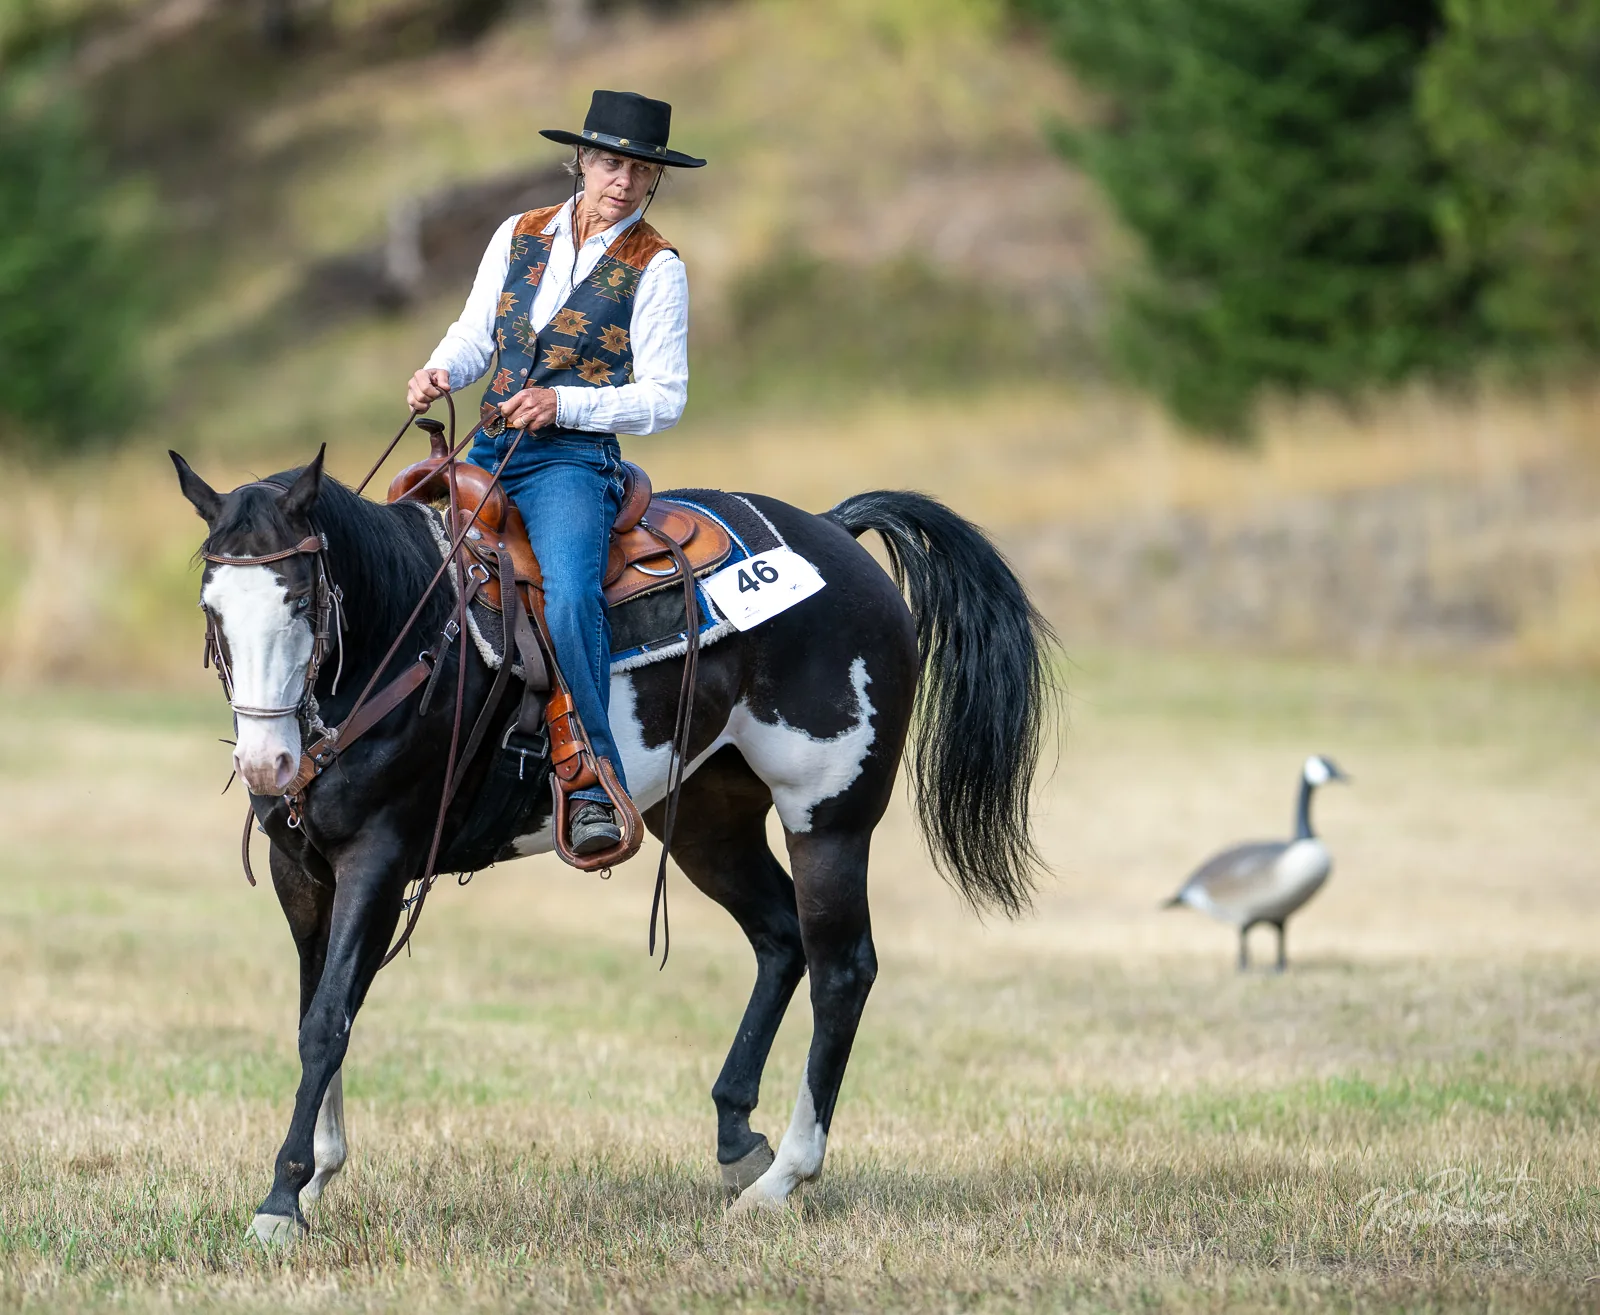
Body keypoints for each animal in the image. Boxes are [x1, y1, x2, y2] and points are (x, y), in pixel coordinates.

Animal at [169, 446, 1057, 1243]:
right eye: (213, 608)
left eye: (300, 600)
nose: (267, 763)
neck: (409, 635)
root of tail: (835, 534)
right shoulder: (301, 868)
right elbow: (318, 1007)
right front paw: (316, 1172)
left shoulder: (378, 859)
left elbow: (328, 1019)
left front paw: (281, 1199)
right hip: (705, 819)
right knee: (781, 938)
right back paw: (738, 1139)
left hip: (828, 817)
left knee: (843, 971)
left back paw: (780, 1181)